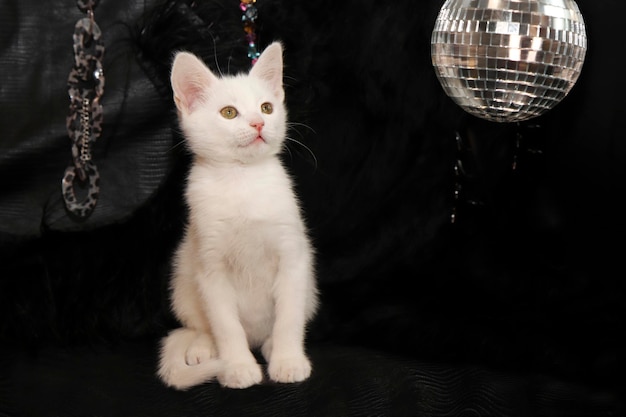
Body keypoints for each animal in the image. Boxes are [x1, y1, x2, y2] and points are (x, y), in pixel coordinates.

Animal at [157, 43, 316, 390]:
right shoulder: (210, 268)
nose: (258, 123)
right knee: (201, 325)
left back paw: (270, 346)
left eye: (267, 107)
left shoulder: (293, 256)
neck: (243, 180)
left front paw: (288, 360)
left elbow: (289, 317)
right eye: (229, 112)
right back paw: (204, 347)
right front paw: (237, 367)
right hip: (183, 279)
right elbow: (226, 325)